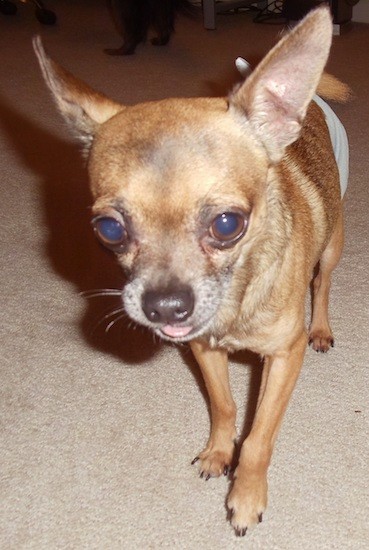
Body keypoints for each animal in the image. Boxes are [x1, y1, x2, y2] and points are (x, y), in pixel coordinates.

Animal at [33, 6, 348, 536]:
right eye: (108, 229)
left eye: (227, 225)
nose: (164, 306)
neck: (236, 300)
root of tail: (312, 103)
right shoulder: (203, 349)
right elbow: (224, 406)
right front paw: (219, 453)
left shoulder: (284, 359)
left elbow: (258, 438)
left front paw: (245, 495)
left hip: (332, 245)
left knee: (321, 284)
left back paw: (321, 327)